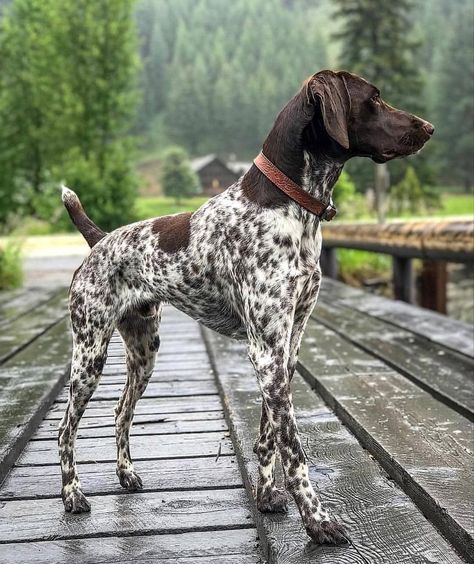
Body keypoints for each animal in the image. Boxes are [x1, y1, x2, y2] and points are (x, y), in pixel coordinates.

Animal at [59, 68, 434, 544]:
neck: (292, 209)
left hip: (144, 352)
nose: (429, 127)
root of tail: (99, 240)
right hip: (89, 355)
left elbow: (268, 434)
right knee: (65, 429)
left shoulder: (286, 348)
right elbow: (294, 448)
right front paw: (317, 520)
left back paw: (126, 474)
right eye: (376, 98)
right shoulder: (266, 350)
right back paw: (72, 495)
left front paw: (268, 496)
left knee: (120, 411)